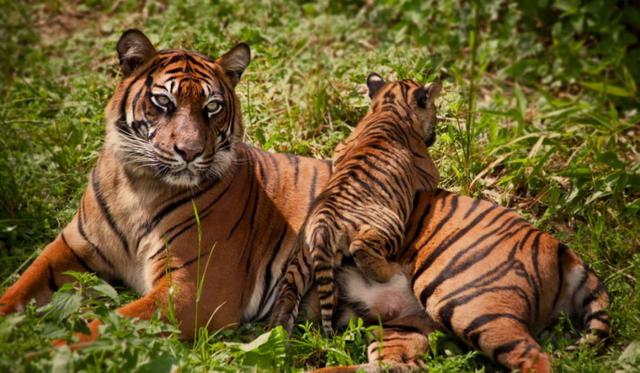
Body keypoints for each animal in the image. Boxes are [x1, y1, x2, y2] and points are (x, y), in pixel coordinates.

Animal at [0, 29, 608, 372]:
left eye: (213, 108)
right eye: (164, 103)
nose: (190, 153)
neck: (140, 184)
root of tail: (554, 242)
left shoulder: (194, 292)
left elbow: (108, 324)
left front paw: (39, 352)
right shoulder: (69, 251)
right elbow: (17, 292)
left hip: (465, 294)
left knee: (534, 359)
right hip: (408, 329)